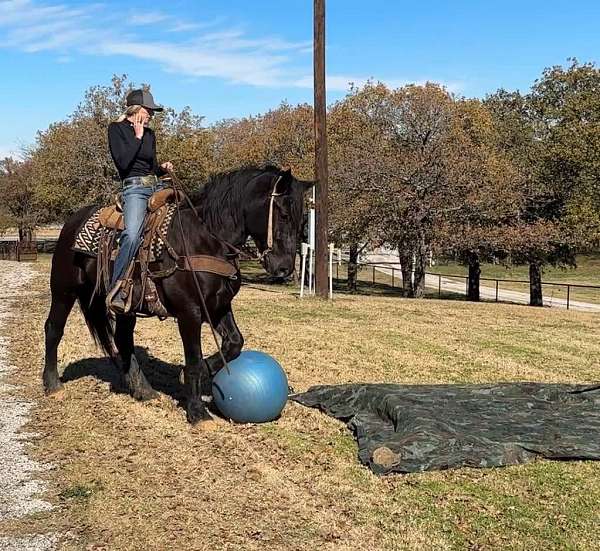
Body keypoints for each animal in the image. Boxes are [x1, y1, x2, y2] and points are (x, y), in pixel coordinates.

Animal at [44, 165, 312, 426]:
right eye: (283, 214)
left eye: (302, 219)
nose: (284, 268)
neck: (207, 240)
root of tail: (72, 222)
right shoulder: (189, 312)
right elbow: (193, 359)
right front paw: (197, 412)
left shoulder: (218, 306)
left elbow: (235, 343)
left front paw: (201, 373)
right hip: (63, 290)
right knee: (54, 328)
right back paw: (52, 384)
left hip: (127, 307)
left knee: (123, 339)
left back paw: (142, 389)